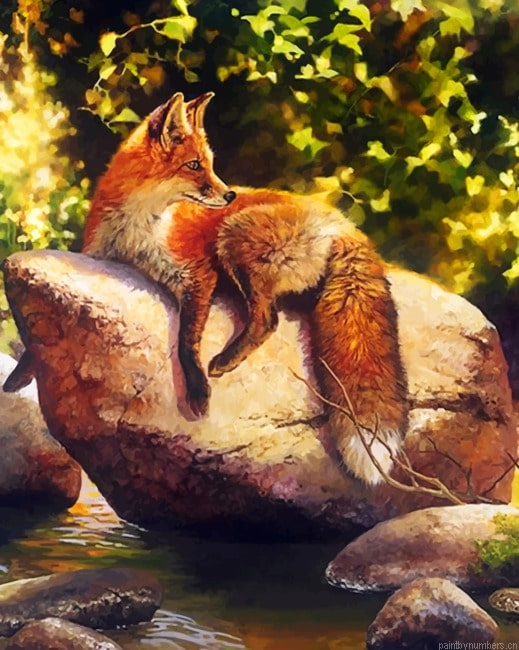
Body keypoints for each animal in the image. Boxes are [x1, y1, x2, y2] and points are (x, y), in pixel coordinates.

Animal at [4, 92, 408, 485]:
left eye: (209, 164)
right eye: (194, 165)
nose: (229, 195)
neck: (136, 233)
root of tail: (342, 224)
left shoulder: (197, 275)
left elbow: (186, 339)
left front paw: (197, 390)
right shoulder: (99, 257)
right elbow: (38, 339)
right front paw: (17, 377)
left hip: (234, 237)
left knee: (267, 320)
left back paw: (224, 360)